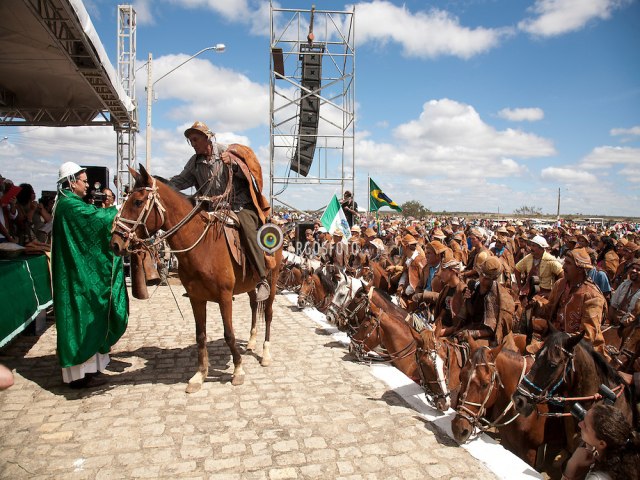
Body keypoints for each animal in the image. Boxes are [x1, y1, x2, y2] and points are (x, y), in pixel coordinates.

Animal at [110, 167, 282, 392]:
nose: (115, 243)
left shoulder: (225, 297)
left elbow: (229, 334)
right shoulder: (196, 298)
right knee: (254, 305)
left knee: (268, 313)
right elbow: (200, 335)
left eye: (138, 202)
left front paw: (238, 370)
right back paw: (252, 341)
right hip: (251, 284)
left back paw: (266, 353)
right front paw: (200, 375)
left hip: (273, 279)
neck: (202, 245)